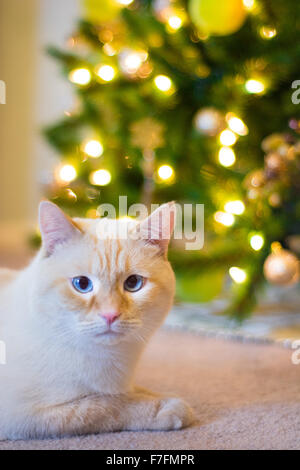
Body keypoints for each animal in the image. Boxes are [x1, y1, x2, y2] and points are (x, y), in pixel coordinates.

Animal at [0, 202, 192, 440]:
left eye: (133, 283)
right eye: (82, 284)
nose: (110, 315)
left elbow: (132, 392)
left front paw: (162, 396)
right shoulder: (20, 413)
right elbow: (106, 405)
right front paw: (168, 407)